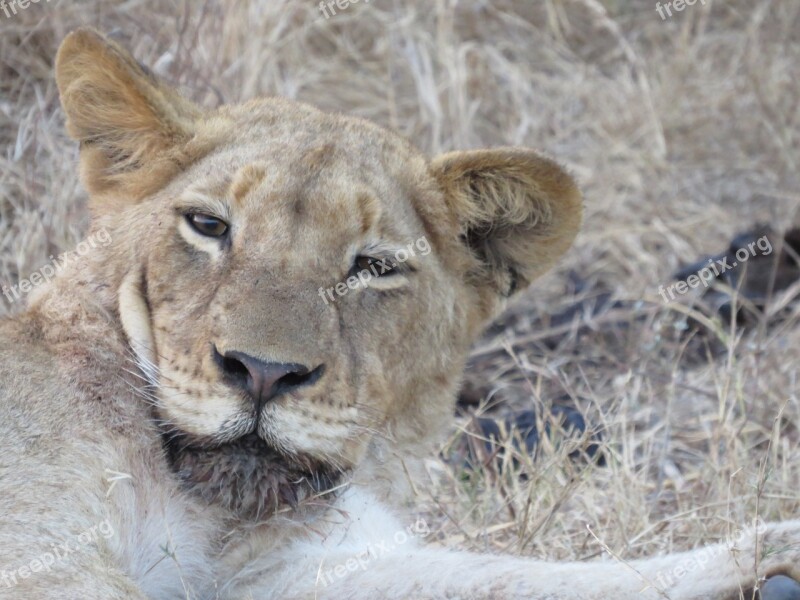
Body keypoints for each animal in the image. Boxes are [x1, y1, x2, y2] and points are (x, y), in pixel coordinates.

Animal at [0, 28, 796, 600]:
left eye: (374, 268)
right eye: (208, 226)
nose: (262, 373)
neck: (211, 518)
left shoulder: (285, 571)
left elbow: (523, 576)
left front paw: (772, 554)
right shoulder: (45, 557)